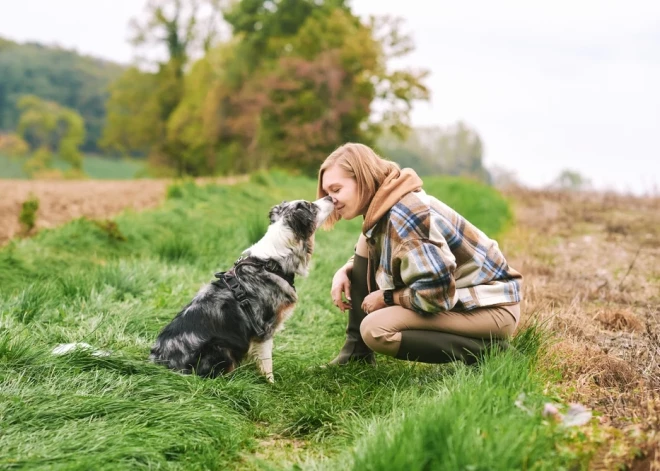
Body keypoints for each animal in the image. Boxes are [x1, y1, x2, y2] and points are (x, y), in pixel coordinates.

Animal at [150, 195, 336, 384]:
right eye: (311, 206)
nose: (330, 196)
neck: (272, 263)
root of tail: (161, 363)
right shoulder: (264, 330)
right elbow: (266, 363)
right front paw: (271, 384)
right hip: (220, 347)